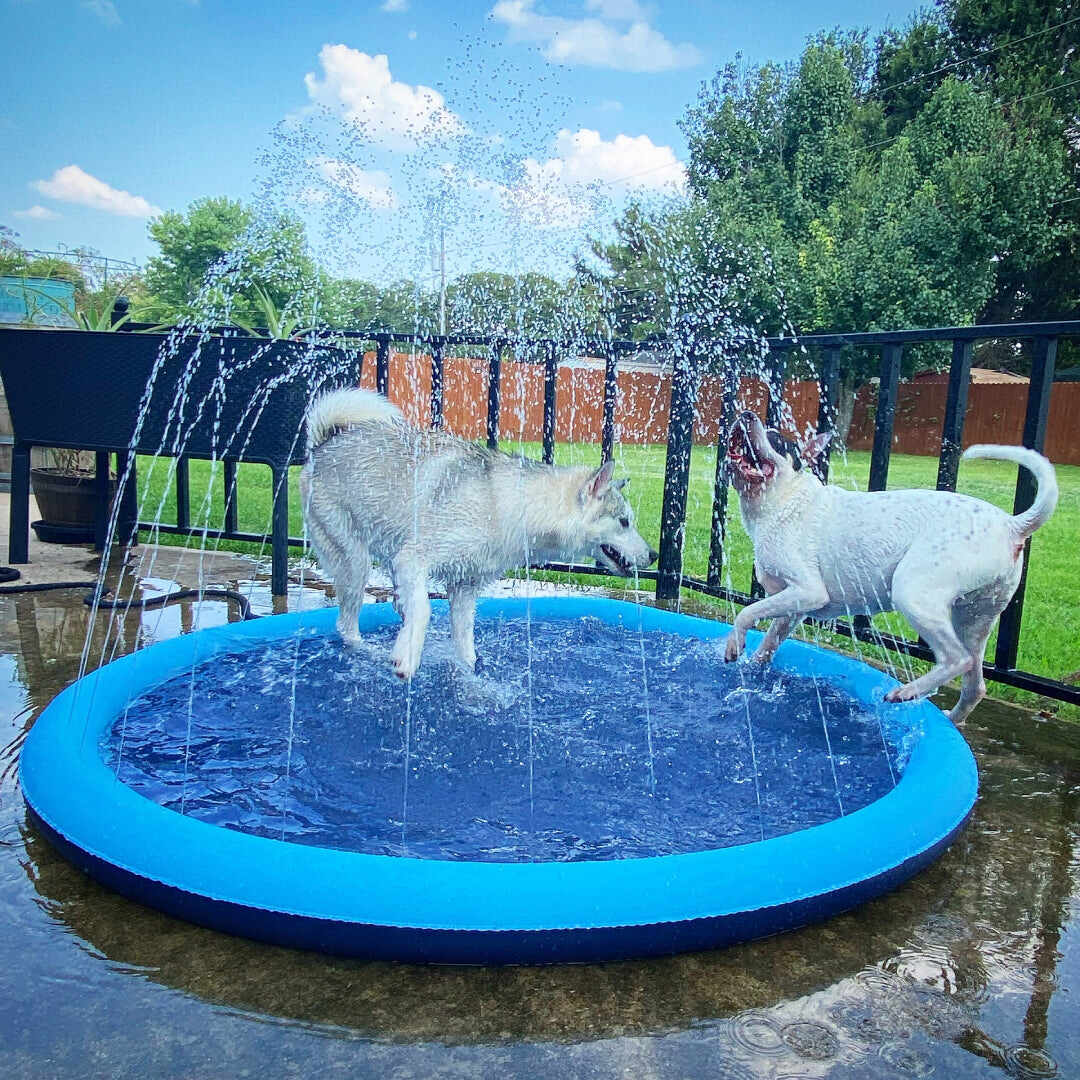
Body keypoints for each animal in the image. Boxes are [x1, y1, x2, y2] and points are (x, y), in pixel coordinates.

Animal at [304, 386, 656, 673]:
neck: (512, 506)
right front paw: (407, 656)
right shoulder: (413, 559)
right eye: (624, 521)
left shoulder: (464, 588)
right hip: (355, 562)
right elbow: (426, 609)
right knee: (348, 626)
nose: (653, 555)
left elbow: (465, 648)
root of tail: (324, 444)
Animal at [721, 408, 1058, 721]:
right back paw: (951, 718)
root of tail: (1012, 525)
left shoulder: (808, 590)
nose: (747, 414)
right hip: (974, 618)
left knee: (956, 659)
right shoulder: (793, 606)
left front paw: (734, 646)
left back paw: (907, 691)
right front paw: (755, 668)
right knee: (975, 683)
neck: (783, 499)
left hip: (913, 592)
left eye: (776, 440)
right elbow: (770, 640)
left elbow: (746, 613)